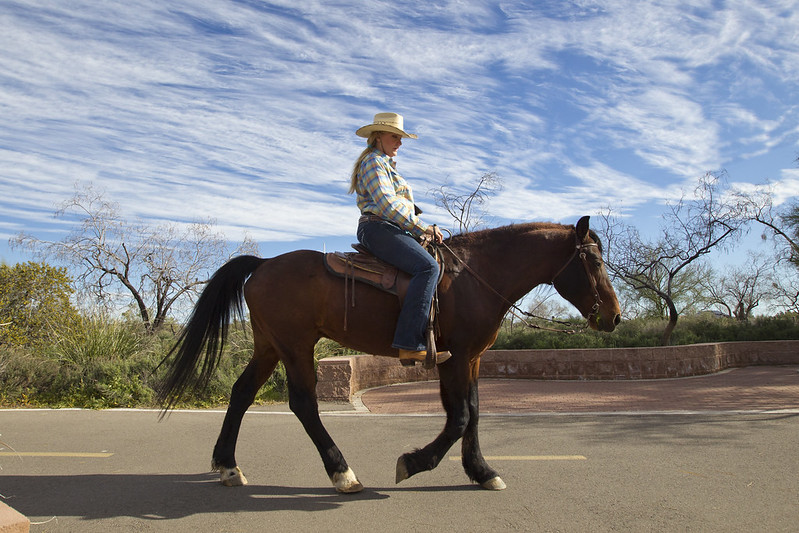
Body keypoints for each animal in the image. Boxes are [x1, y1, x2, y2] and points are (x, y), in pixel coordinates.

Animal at [156, 214, 620, 492]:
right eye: (595, 261)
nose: (614, 316)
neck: (473, 276)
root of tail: (264, 263)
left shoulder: (471, 358)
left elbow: (472, 412)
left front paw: (482, 471)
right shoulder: (456, 357)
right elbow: (459, 417)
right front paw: (414, 462)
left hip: (270, 345)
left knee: (241, 393)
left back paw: (228, 465)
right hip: (295, 345)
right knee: (303, 403)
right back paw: (342, 473)